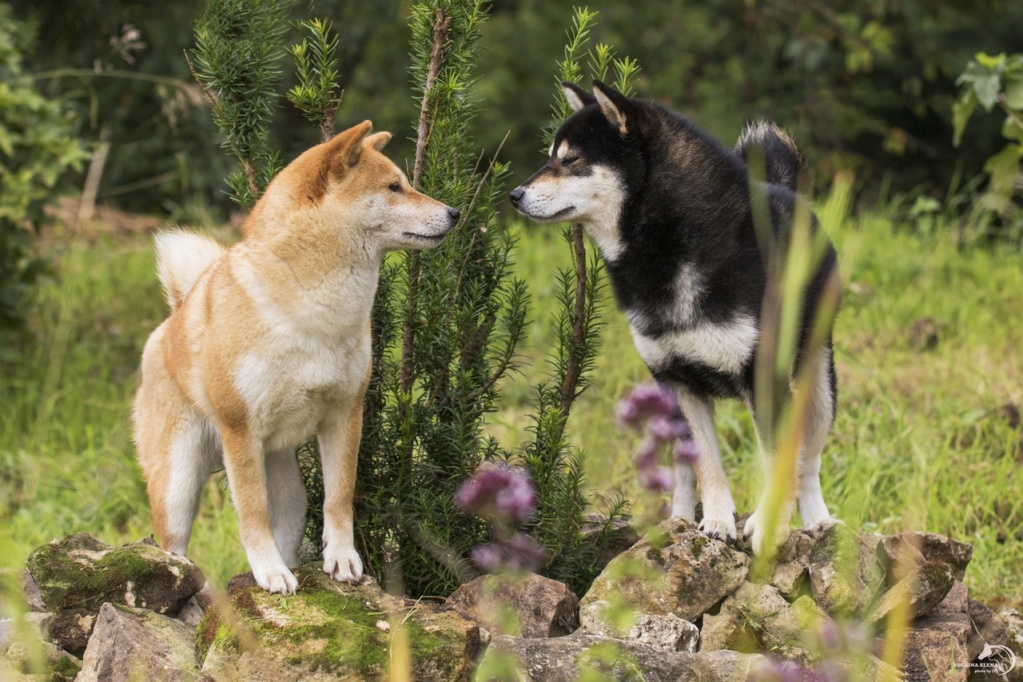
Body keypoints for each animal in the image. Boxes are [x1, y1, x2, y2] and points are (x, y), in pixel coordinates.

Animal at [511, 80, 838, 552]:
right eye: (551, 155)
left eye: (570, 161)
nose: (514, 195)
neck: (669, 246)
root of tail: (787, 192)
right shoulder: (679, 379)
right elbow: (707, 466)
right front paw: (717, 522)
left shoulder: (765, 378)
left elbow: (778, 462)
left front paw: (767, 526)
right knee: (684, 472)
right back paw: (680, 519)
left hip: (818, 386)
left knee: (808, 463)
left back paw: (817, 522)